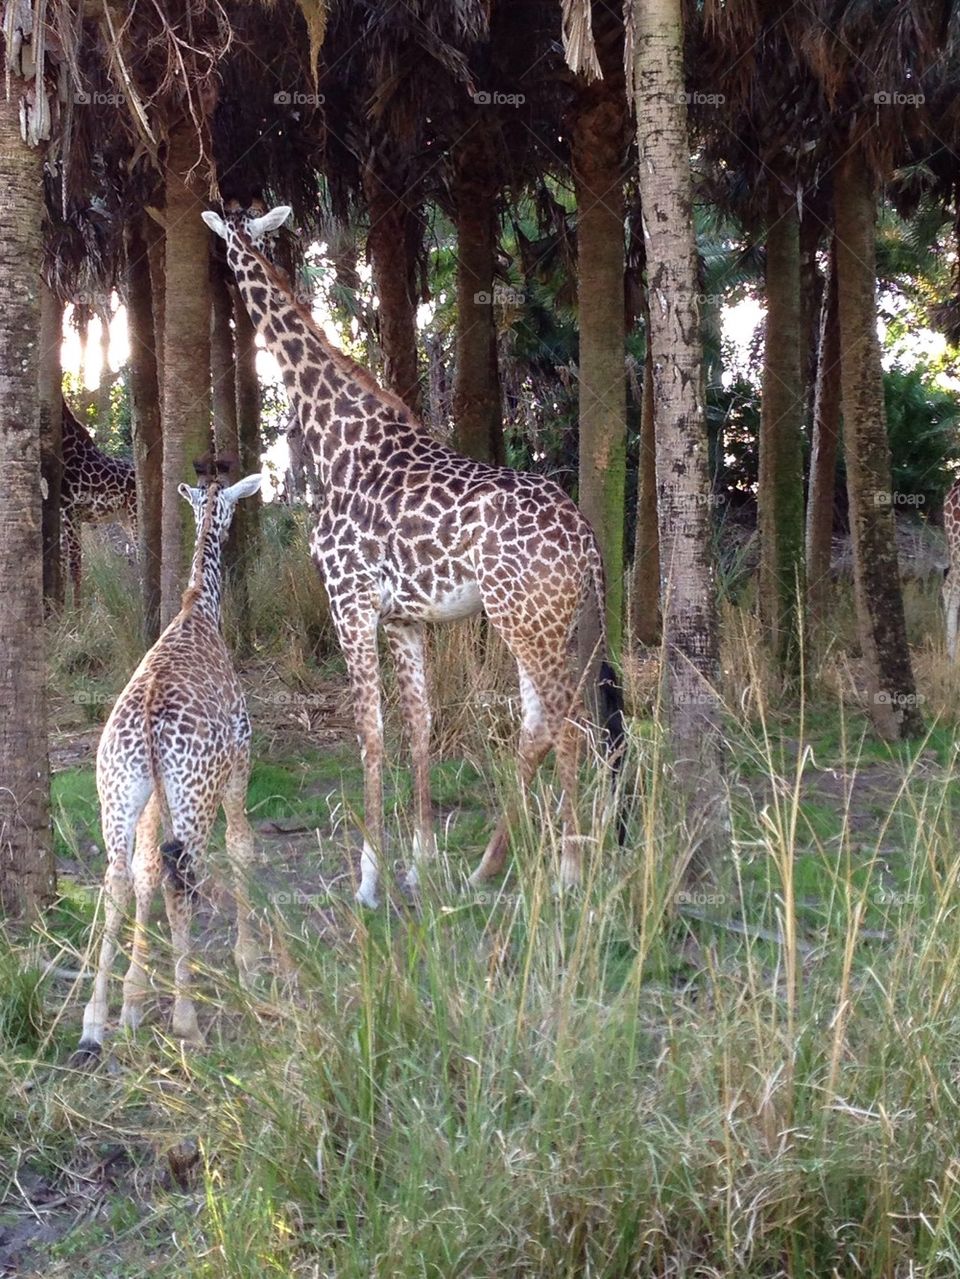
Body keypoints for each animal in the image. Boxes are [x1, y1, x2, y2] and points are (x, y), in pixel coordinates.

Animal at [60, 398, 137, 601]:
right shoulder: (62, 516)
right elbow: (61, 564)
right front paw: (57, 606)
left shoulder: (72, 513)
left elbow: (75, 565)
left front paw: (77, 608)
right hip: (126, 519)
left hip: (136, 516)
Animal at [72, 458, 263, 1065]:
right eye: (233, 504)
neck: (197, 609)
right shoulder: (239, 761)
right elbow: (242, 847)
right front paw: (249, 966)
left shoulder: (153, 793)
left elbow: (145, 871)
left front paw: (131, 1003)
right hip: (195, 793)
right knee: (185, 880)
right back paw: (187, 1021)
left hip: (116, 789)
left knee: (117, 875)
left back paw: (92, 1027)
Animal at [203, 201, 624, 908]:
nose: (225, 267)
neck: (338, 439)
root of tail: (588, 541)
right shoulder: (403, 617)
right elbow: (419, 726)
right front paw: (421, 863)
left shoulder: (347, 601)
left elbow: (370, 732)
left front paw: (369, 878)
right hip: (548, 620)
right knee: (539, 725)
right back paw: (484, 870)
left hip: (524, 619)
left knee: (567, 725)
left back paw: (567, 873)